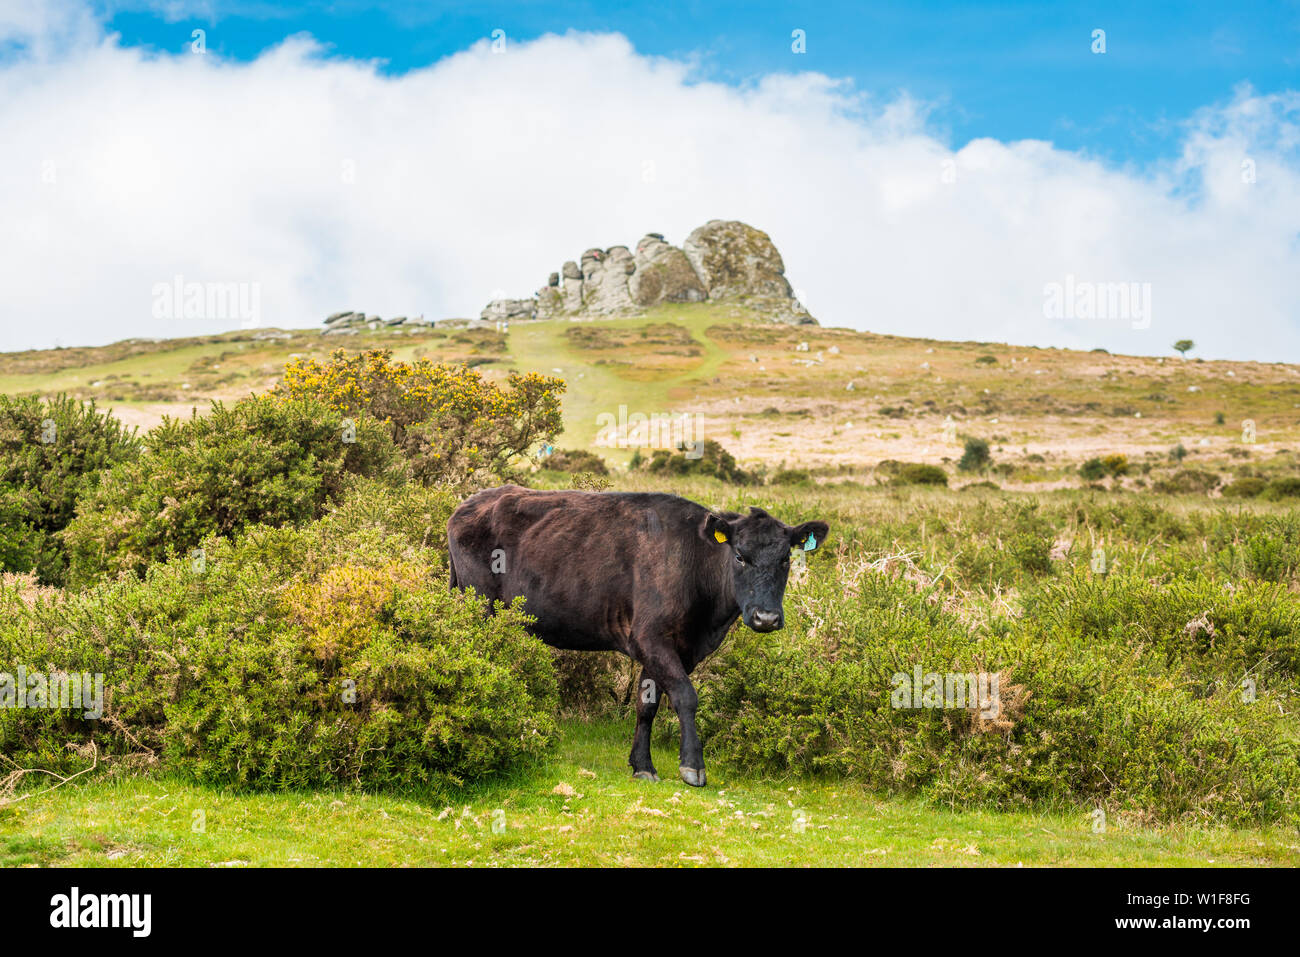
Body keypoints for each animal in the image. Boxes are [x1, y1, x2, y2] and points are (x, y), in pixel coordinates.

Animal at [452, 488, 826, 790]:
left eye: (786, 559)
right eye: (739, 556)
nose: (766, 617)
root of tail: (468, 504)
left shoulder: (676, 648)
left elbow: (647, 705)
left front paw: (642, 765)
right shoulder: (651, 637)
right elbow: (686, 697)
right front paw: (692, 766)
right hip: (480, 607)